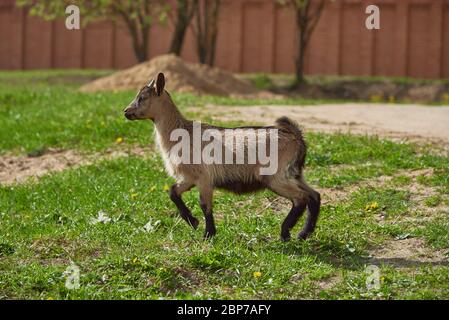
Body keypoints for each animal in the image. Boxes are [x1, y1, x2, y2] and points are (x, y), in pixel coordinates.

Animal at [122, 74, 318, 241]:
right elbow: (173, 191)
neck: (180, 133)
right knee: (314, 195)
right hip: (294, 174)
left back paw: (285, 233)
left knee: (301, 198)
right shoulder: (189, 177)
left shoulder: (204, 178)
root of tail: (296, 137)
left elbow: (205, 205)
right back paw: (303, 234)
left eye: (142, 97)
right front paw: (194, 222)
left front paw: (208, 234)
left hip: (275, 177)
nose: (126, 111)